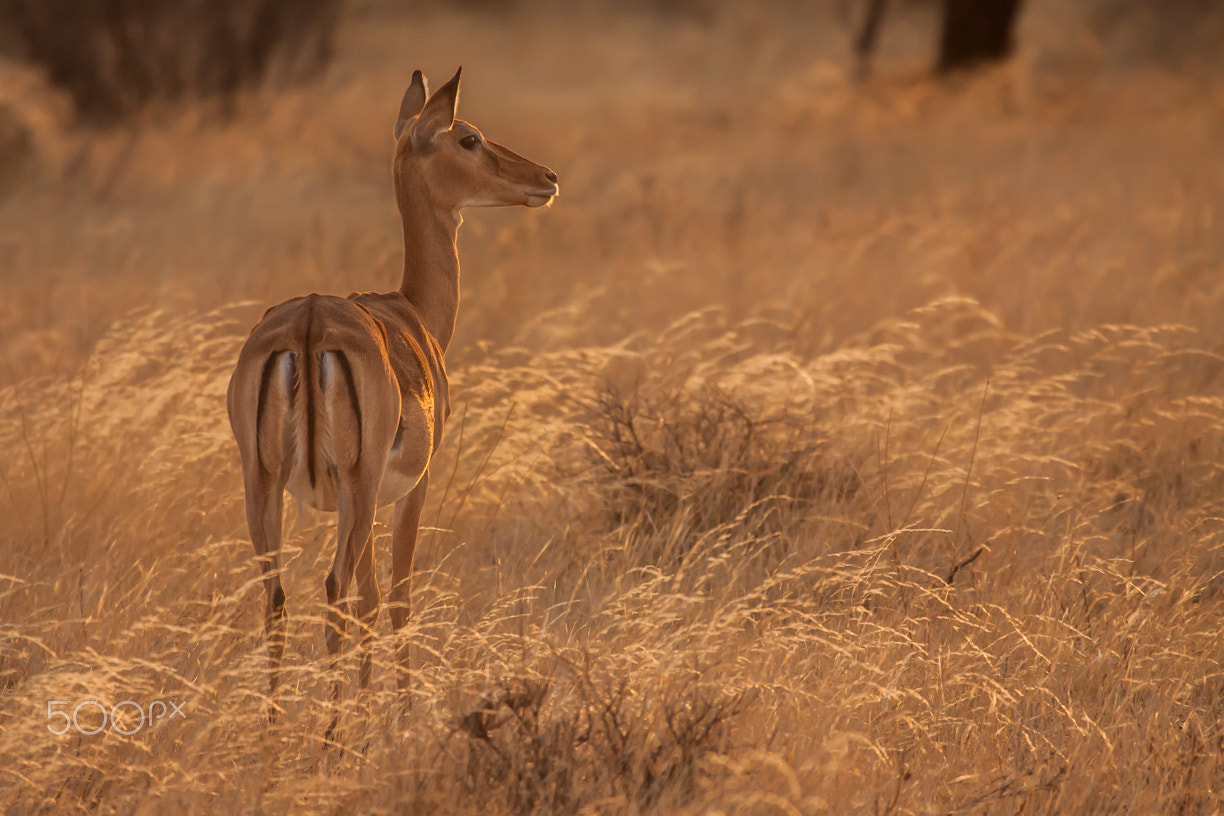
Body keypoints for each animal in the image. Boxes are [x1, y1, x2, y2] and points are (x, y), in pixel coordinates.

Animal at [227, 68, 558, 719]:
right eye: (469, 138)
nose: (546, 179)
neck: (415, 313)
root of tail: (308, 325)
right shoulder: (407, 487)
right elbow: (395, 599)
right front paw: (398, 717)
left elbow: (371, 598)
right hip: (353, 485)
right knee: (334, 592)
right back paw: (331, 733)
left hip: (264, 482)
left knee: (277, 599)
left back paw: (274, 733)